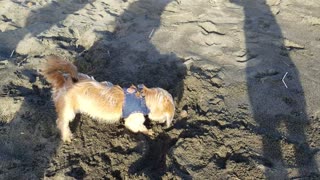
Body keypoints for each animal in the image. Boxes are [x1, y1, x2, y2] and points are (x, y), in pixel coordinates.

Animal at [41, 55, 176, 142]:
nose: (164, 124)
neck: (143, 98)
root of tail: (62, 80)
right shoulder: (133, 120)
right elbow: (139, 127)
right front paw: (149, 132)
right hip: (68, 110)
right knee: (61, 122)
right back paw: (67, 136)